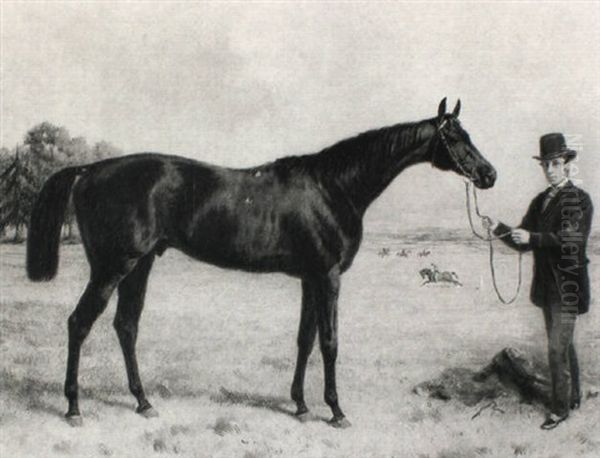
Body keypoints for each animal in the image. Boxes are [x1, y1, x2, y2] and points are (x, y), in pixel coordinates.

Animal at [25, 97, 494, 430]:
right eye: (457, 138)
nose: (489, 174)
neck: (333, 188)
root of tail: (91, 169)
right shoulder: (328, 278)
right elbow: (330, 342)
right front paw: (336, 411)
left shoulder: (310, 278)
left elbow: (305, 340)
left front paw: (301, 406)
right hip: (112, 267)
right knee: (79, 323)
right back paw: (74, 408)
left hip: (138, 266)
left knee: (126, 326)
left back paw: (143, 402)